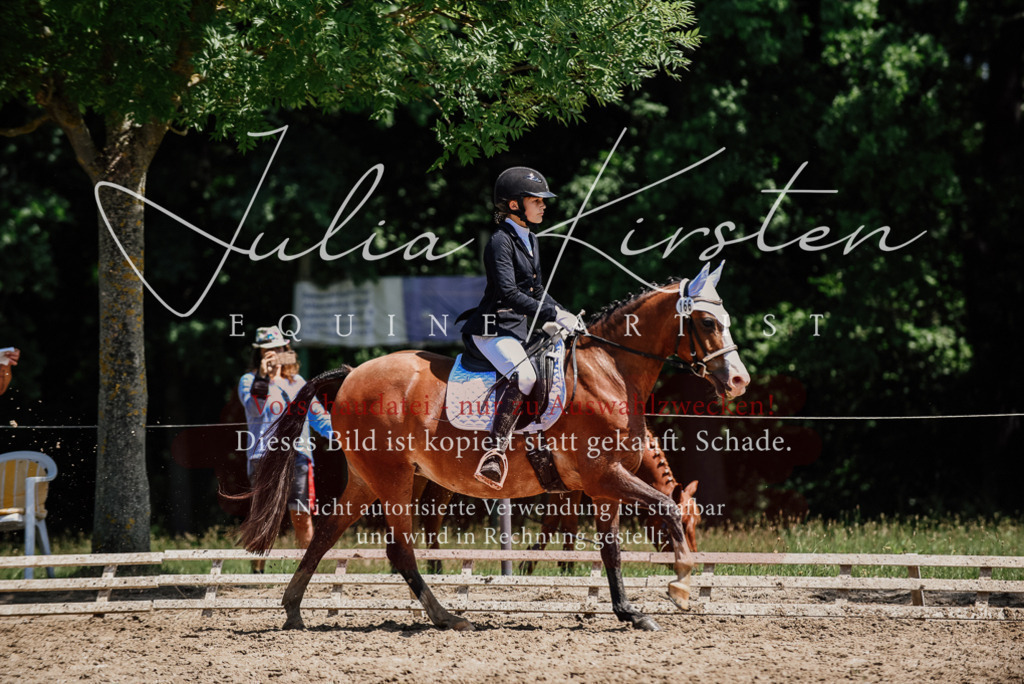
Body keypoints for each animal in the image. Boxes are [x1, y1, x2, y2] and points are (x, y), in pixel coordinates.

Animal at [241, 262, 749, 632]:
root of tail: (351, 374)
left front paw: (629, 612)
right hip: (393, 478)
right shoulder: (602, 476)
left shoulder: (603, 487)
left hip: (369, 479)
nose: (739, 381)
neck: (611, 371)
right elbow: (665, 508)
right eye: (707, 321)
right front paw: (680, 586)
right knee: (399, 550)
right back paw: (448, 618)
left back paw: (293, 610)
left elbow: (610, 550)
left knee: (325, 534)